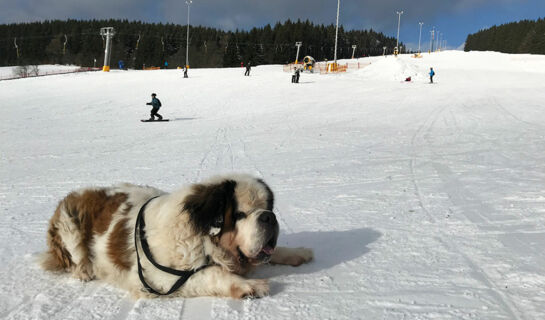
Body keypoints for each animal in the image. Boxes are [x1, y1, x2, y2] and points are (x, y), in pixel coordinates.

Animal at [40, 174, 312, 298]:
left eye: (268, 208)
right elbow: (213, 273)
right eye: (240, 215)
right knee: (77, 258)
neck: (202, 237)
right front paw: (250, 285)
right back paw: (84, 272)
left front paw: (298, 252)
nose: (269, 217)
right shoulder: (158, 278)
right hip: (69, 223)